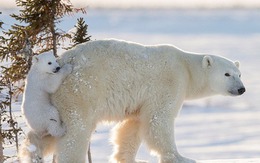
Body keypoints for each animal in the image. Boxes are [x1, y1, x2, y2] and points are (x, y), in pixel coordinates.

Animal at [50, 38, 244, 162]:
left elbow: (133, 125)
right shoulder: (169, 82)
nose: (242, 89)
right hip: (81, 91)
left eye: (239, 74)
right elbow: (158, 120)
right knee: (77, 131)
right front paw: (180, 158)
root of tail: (63, 60)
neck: (186, 67)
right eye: (227, 74)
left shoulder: (139, 101)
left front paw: (129, 158)